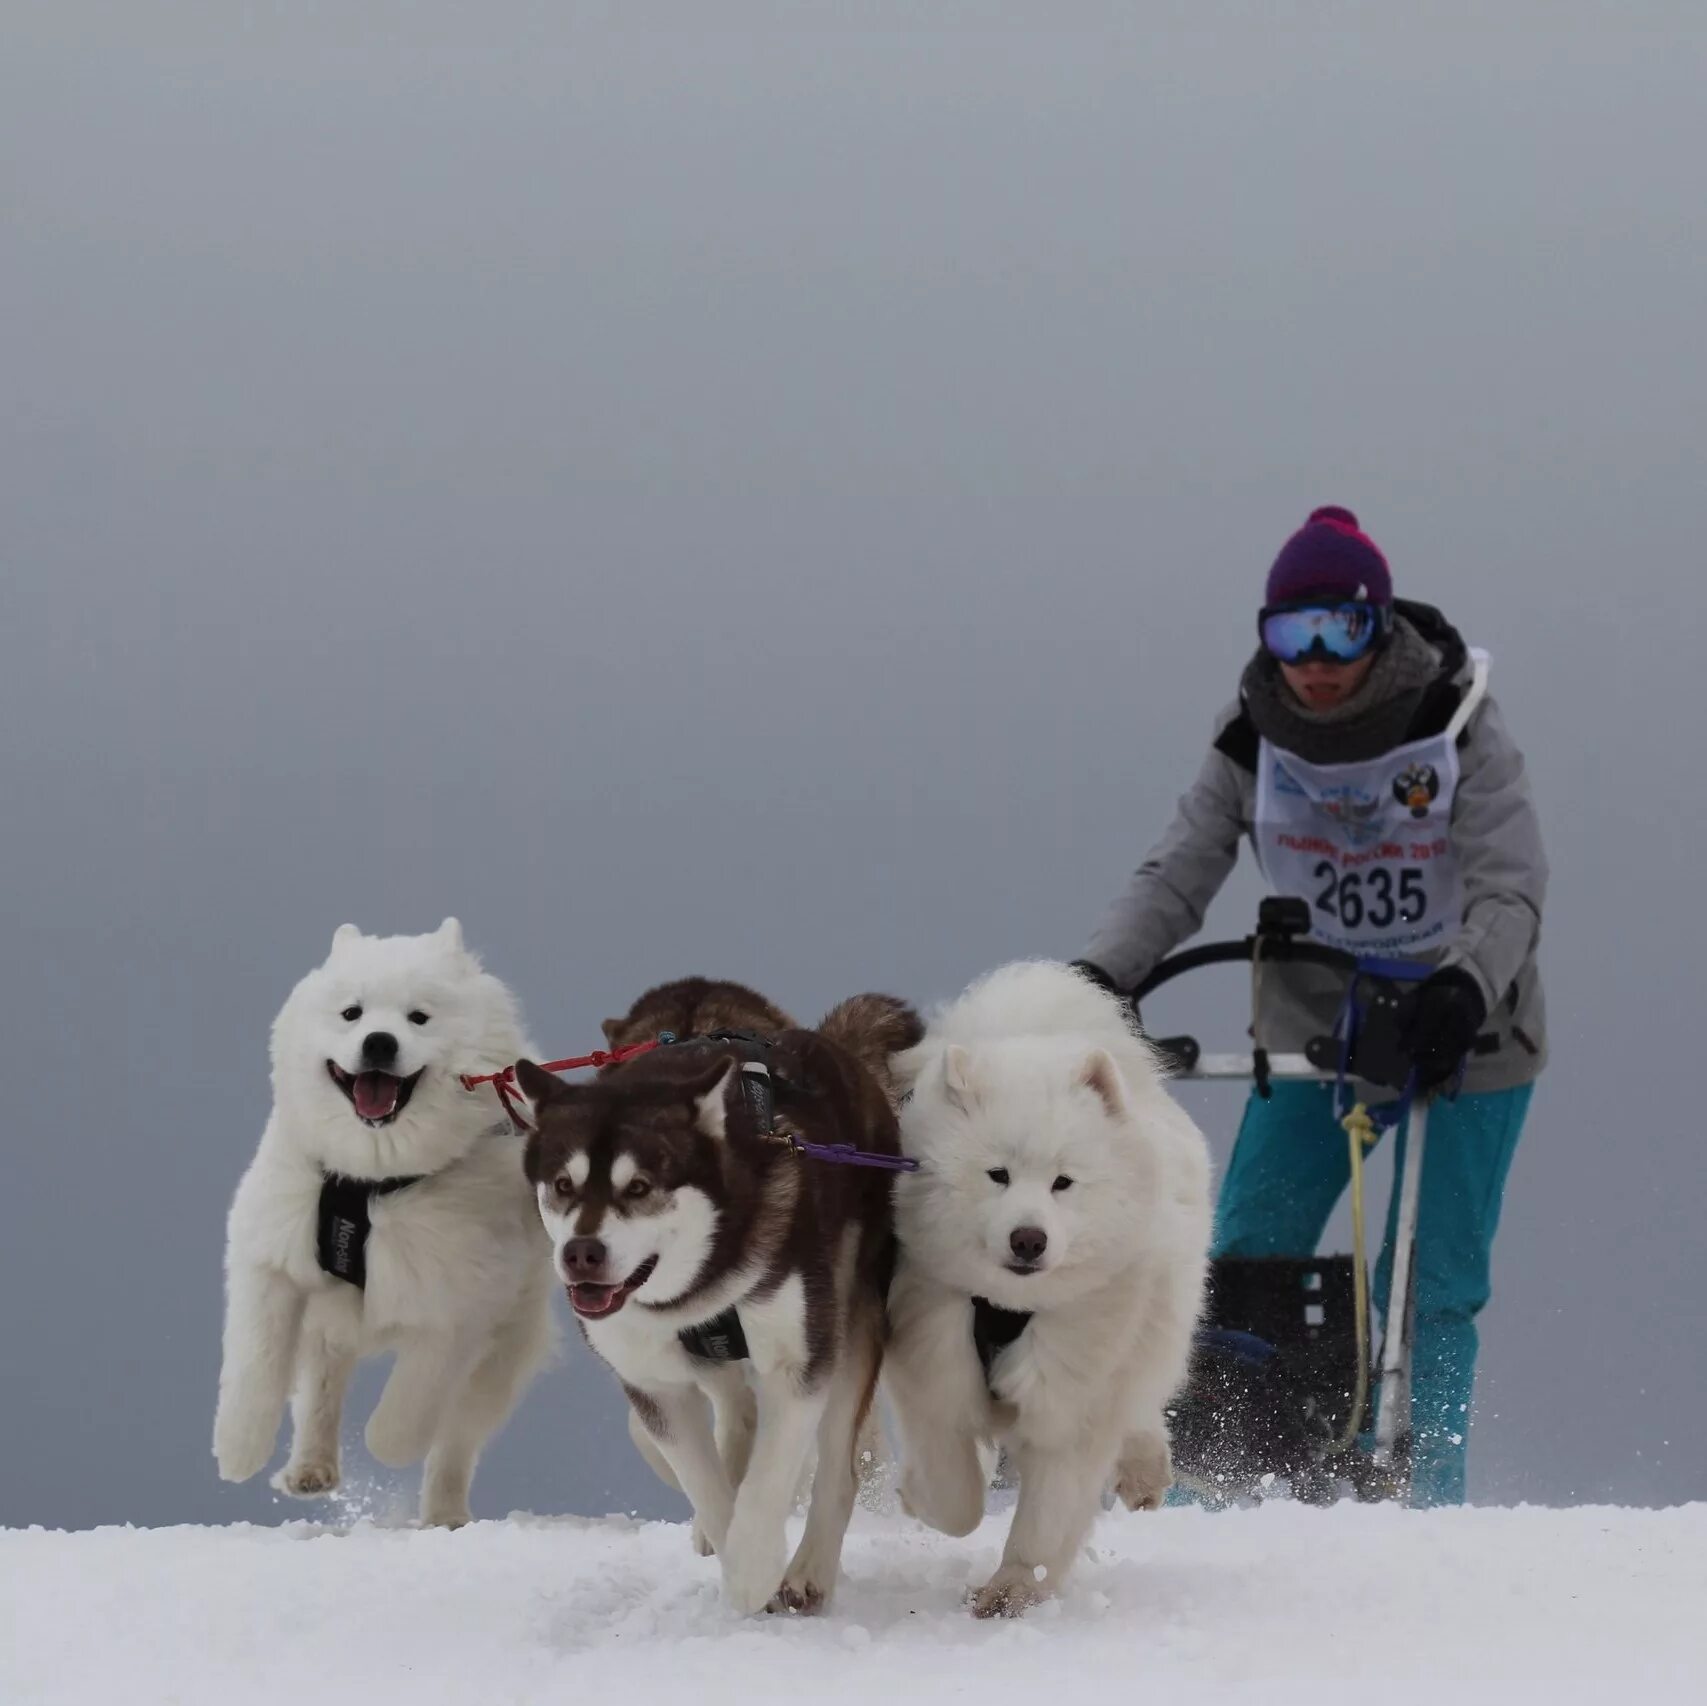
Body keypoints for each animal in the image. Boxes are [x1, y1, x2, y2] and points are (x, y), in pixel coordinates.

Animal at [205, 915, 553, 1530]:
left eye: (419, 1017)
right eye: (353, 1013)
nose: (379, 1042)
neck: (372, 1181)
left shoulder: (460, 1303)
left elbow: (413, 1403)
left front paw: (388, 1444)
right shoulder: (270, 1258)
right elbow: (255, 1364)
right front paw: (238, 1450)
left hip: (505, 1348)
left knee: (455, 1440)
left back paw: (444, 1516)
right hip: (329, 1320)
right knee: (320, 1391)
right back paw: (310, 1469)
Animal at [880, 969, 1215, 1618]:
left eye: (1063, 1182)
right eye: (998, 1175)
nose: (1028, 1239)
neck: (1009, 1308)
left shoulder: (1072, 1397)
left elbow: (1046, 1516)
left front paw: (1013, 1592)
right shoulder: (931, 1361)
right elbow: (955, 1494)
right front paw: (921, 1498)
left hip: (1157, 1327)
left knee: (1143, 1402)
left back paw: (1144, 1473)